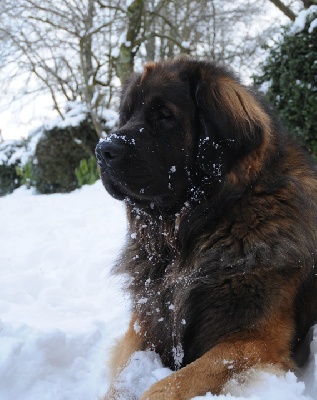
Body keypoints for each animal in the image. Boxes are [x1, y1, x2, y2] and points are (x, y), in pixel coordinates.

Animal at [95, 57, 316, 398]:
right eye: (126, 115)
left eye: (164, 116)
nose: (102, 150)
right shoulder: (147, 324)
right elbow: (122, 379)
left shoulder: (256, 343)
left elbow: (169, 384)